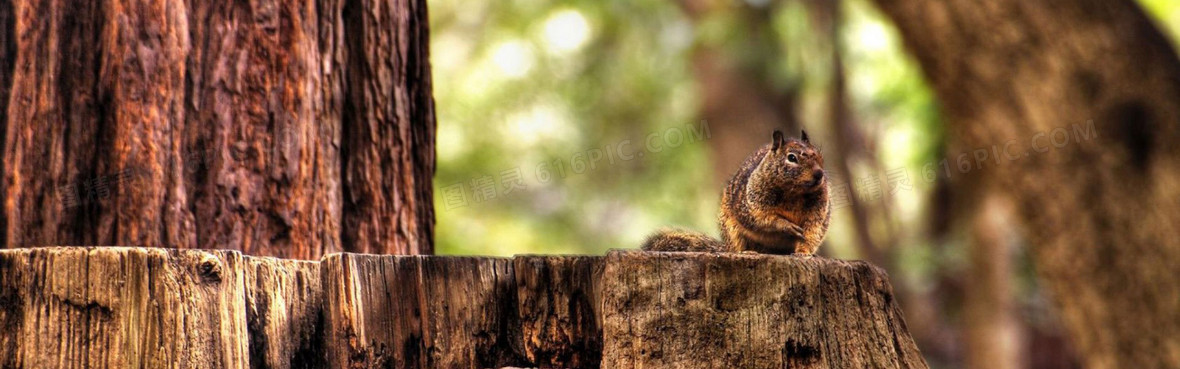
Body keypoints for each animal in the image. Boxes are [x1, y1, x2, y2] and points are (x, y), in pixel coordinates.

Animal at [646, 130, 830, 254]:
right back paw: (747, 252)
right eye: (791, 157)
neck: (794, 192)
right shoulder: (752, 203)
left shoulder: (819, 211)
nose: (819, 174)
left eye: (820, 155)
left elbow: (812, 231)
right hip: (731, 229)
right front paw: (786, 226)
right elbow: (762, 219)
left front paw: (803, 253)